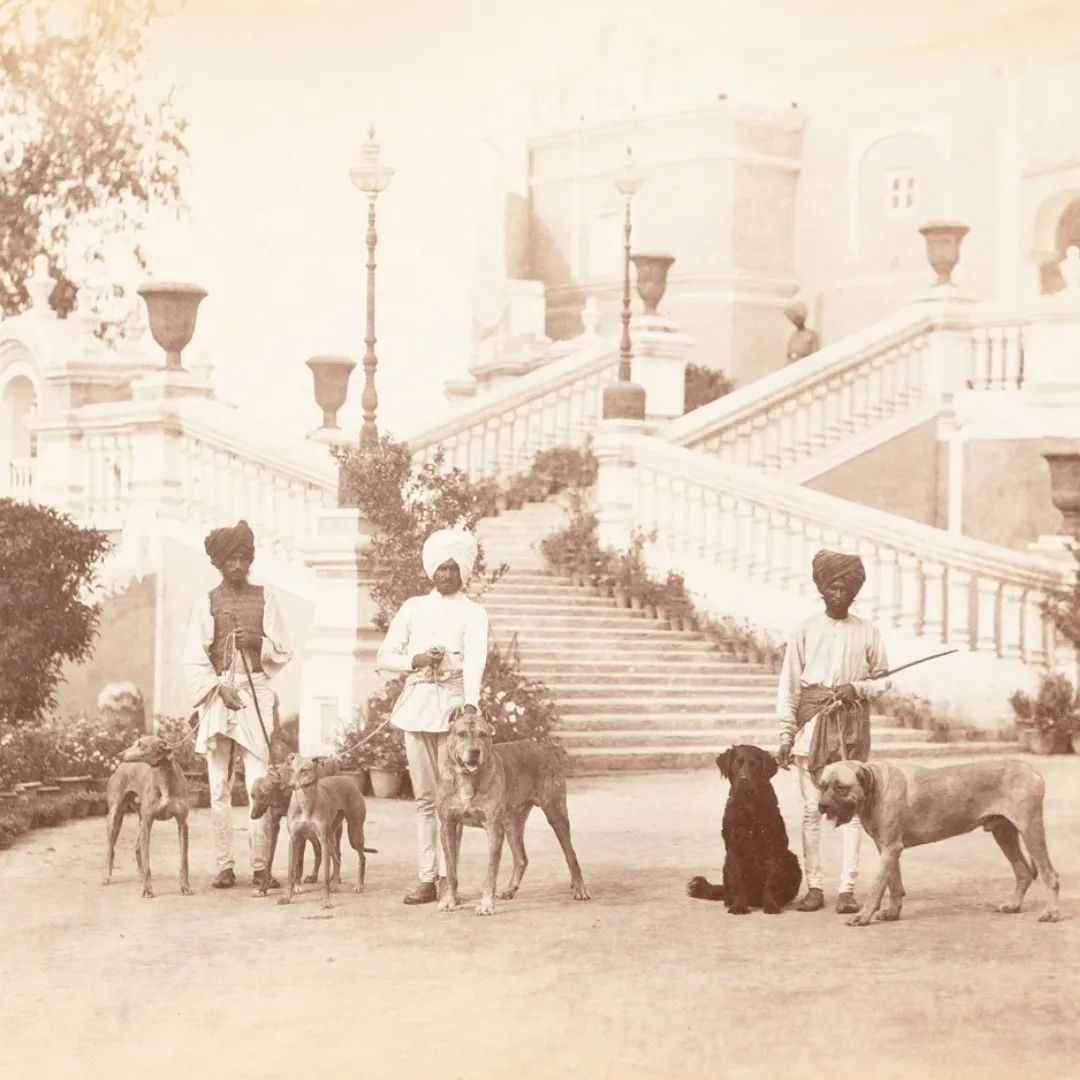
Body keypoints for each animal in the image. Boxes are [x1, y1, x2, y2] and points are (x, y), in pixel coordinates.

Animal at [436, 708, 591, 920]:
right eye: (461, 734)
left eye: (483, 735)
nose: (475, 751)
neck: (467, 778)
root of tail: (541, 747)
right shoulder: (448, 825)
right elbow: (451, 869)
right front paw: (449, 900)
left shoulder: (493, 828)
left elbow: (491, 871)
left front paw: (486, 905)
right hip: (512, 824)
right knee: (521, 858)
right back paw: (510, 890)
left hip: (555, 813)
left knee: (571, 853)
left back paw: (580, 888)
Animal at [682, 743, 803, 911]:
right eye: (737, 764)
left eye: (754, 765)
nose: (743, 779)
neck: (748, 805)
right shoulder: (734, 849)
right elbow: (738, 880)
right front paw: (739, 906)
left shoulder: (773, 846)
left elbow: (771, 881)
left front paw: (770, 905)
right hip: (726, 863)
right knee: (729, 889)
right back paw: (730, 901)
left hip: (790, 858)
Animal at [820, 760, 1058, 928]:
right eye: (821, 786)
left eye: (841, 787)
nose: (822, 806)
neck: (876, 786)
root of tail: (1034, 771)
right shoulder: (888, 849)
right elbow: (894, 884)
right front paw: (893, 912)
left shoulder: (890, 849)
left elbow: (876, 886)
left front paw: (862, 916)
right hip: (1004, 833)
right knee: (1024, 873)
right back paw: (1013, 905)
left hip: (1031, 831)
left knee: (1050, 875)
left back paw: (1051, 913)